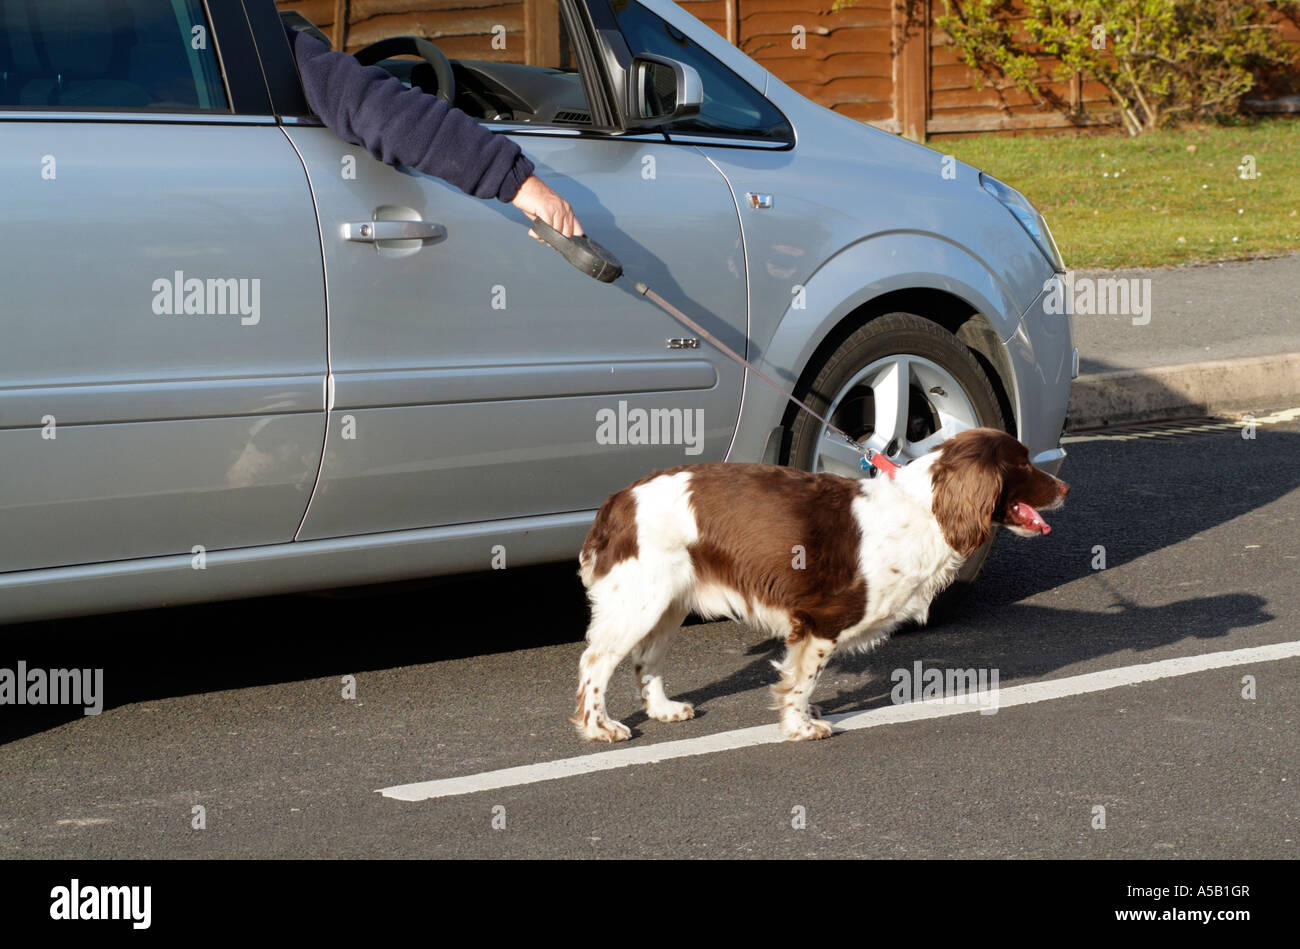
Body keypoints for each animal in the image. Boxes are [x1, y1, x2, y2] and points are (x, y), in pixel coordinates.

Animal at [569, 426, 1066, 743]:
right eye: (1023, 464)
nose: (1065, 487)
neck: (924, 511)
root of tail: (617, 500)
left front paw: (803, 718)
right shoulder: (822, 620)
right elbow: (803, 680)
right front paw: (801, 727)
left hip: (667, 602)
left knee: (645, 660)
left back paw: (663, 709)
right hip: (641, 600)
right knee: (595, 662)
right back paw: (598, 727)